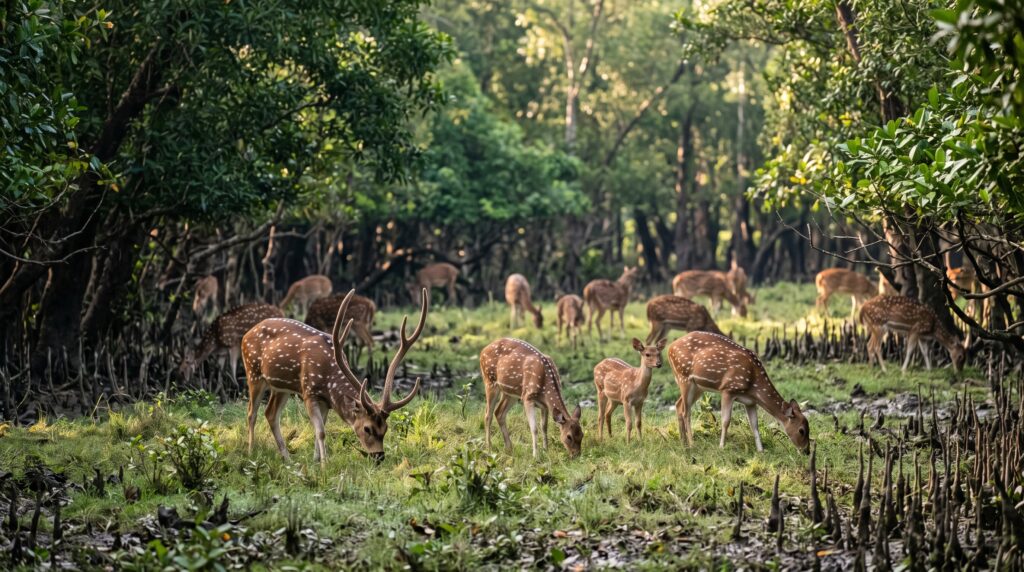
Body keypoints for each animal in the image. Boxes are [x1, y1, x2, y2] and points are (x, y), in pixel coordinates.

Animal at [242, 289, 427, 464]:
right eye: (367, 428)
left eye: (386, 428)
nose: (379, 456)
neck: (328, 381)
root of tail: (246, 334)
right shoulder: (309, 393)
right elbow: (321, 432)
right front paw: (324, 464)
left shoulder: (325, 401)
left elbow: (320, 429)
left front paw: (316, 460)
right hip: (253, 372)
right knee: (251, 412)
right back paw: (251, 451)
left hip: (281, 386)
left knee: (270, 413)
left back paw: (287, 459)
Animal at [667, 331, 810, 454]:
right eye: (801, 430)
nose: (806, 451)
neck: (753, 384)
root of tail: (670, 348)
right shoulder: (728, 389)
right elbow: (726, 421)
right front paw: (721, 447)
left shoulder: (750, 402)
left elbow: (754, 425)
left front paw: (761, 450)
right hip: (684, 377)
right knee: (686, 412)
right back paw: (692, 444)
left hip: (697, 386)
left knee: (678, 405)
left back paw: (683, 443)